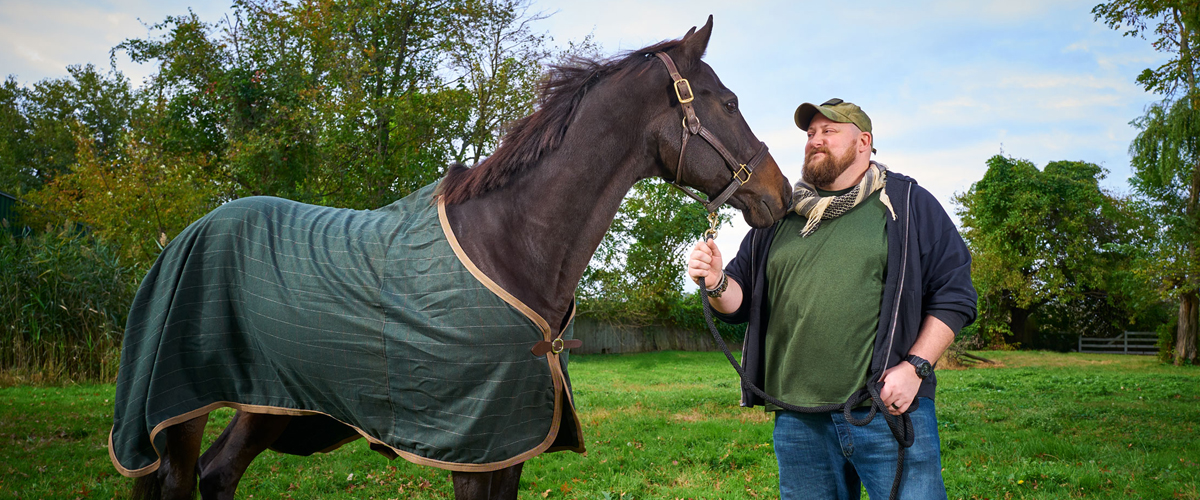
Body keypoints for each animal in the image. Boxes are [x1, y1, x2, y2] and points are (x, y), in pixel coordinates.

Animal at [113, 16, 791, 500]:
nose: (778, 195)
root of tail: (180, 240)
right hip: (182, 410)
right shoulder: (474, 451)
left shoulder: (511, 449)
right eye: (728, 102)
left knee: (218, 475)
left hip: (265, 401)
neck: (510, 243)